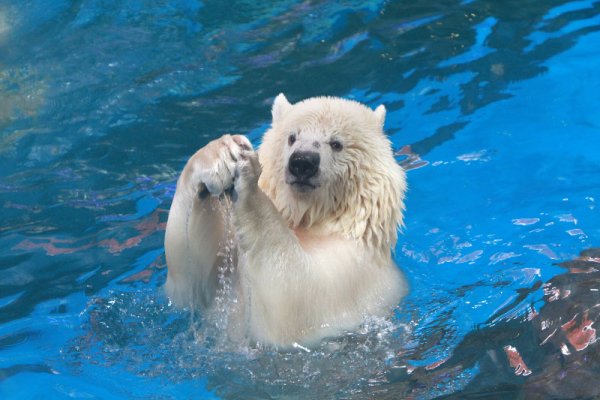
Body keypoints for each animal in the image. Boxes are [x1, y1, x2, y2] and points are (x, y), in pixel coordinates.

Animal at [164, 94, 408, 346]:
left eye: (336, 143)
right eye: (292, 137)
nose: (302, 162)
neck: (311, 220)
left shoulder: (353, 268)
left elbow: (293, 298)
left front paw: (250, 180)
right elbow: (189, 280)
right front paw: (221, 154)